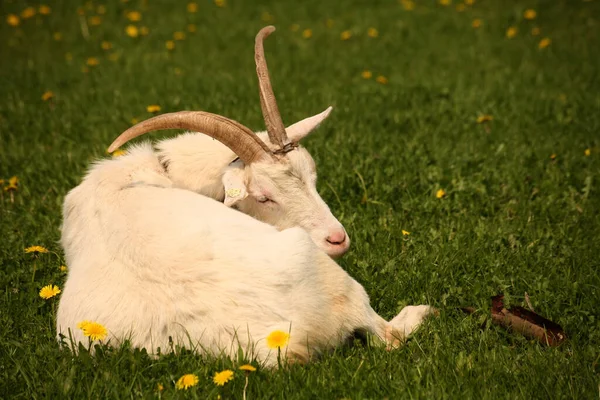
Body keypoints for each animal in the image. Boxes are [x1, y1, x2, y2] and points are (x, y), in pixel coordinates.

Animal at [56, 25, 434, 366]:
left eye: (312, 176)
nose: (337, 240)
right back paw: (420, 311)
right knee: (388, 336)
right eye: (263, 197)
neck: (159, 172)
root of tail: (292, 341)